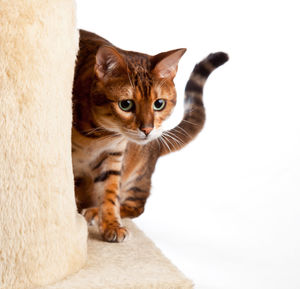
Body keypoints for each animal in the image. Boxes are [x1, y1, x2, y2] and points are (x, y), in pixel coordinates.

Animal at [72, 29, 227, 241]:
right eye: (125, 104)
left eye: (159, 104)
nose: (147, 129)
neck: (100, 136)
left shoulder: (113, 156)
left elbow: (109, 193)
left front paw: (112, 224)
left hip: (137, 177)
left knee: (136, 207)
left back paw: (94, 212)